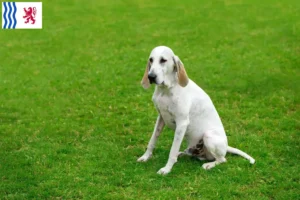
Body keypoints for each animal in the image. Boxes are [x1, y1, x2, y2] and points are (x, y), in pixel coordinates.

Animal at [137, 45, 254, 175]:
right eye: (151, 60)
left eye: (163, 60)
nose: (151, 77)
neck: (166, 90)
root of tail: (226, 147)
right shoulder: (161, 117)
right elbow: (152, 140)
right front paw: (145, 157)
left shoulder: (182, 123)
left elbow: (172, 150)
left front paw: (167, 169)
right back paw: (182, 154)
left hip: (209, 136)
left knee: (222, 159)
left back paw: (208, 165)